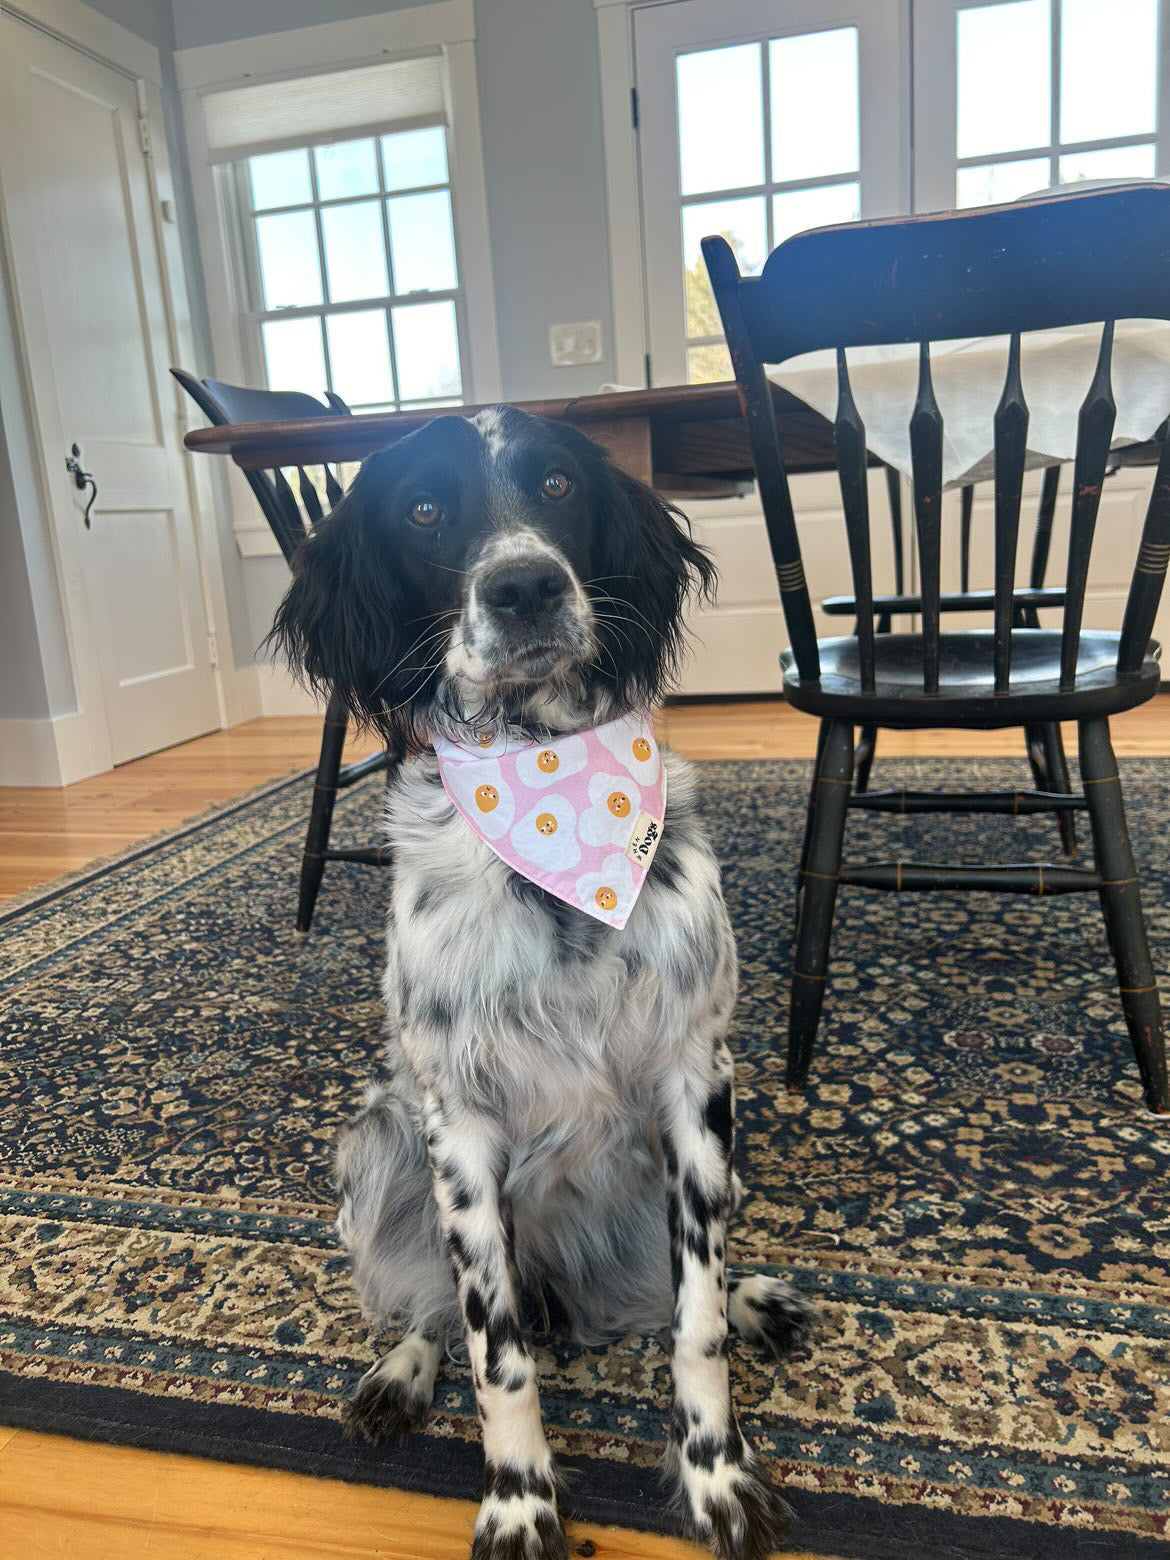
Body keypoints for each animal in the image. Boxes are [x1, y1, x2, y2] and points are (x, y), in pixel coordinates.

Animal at [274, 408, 811, 1553]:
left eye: (559, 483)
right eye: (423, 509)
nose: (523, 586)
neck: (554, 806)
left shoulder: (695, 1083)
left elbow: (695, 1327)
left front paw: (716, 1475)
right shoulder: (458, 1123)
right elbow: (496, 1352)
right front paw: (520, 1500)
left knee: (683, 1289)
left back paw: (755, 1301)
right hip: (377, 1143)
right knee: (437, 1308)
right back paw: (399, 1372)